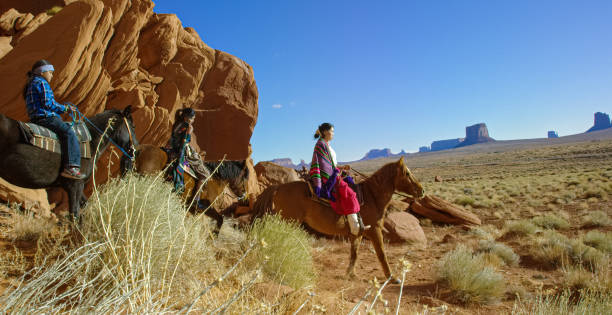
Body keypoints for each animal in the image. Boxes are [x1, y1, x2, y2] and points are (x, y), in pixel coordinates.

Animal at [0, 107, 136, 221]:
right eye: (133, 127)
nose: (135, 149)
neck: (91, 142)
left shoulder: (74, 185)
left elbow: (85, 206)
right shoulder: (75, 185)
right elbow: (74, 215)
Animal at [251, 158, 424, 284]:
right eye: (407, 173)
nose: (421, 190)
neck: (372, 196)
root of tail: (277, 188)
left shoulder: (358, 233)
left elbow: (354, 254)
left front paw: (351, 274)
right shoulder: (375, 231)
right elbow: (381, 254)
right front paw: (392, 278)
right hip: (289, 221)